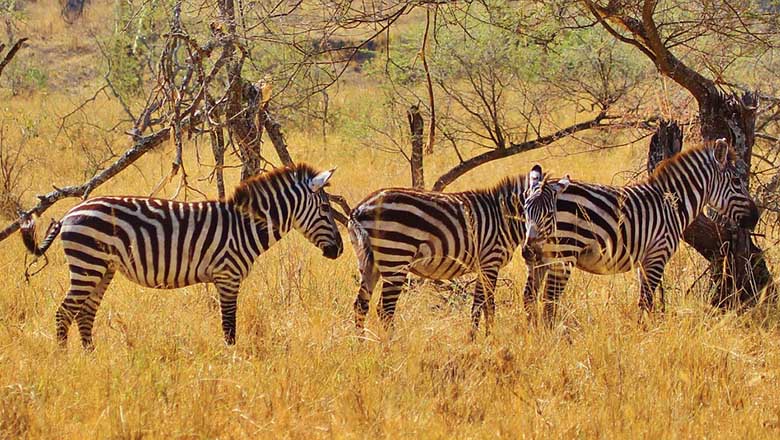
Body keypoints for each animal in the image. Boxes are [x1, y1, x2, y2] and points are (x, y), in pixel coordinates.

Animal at [19, 163, 342, 348]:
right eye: (326, 209)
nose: (338, 250)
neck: (245, 226)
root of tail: (69, 212)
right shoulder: (228, 276)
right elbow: (229, 327)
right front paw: (232, 364)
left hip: (102, 268)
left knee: (85, 314)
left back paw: (91, 359)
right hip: (88, 264)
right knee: (64, 313)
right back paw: (64, 360)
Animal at [348, 172, 536, 336]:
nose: (529, 253)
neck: (504, 218)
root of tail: (359, 208)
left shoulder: (484, 266)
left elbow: (480, 305)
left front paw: (478, 338)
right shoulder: (490, 261)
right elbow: (486, 306)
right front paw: (486, 340)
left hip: (368, 262)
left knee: (361, 305)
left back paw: (362, 343)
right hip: (395, 256)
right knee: (385, 309)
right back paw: (392, 345)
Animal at [520, 140, 760, 320]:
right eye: (737, 181)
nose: (755, 218)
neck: (673, 204)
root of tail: (546, 188)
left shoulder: (643, 261)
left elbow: (647, 301)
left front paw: (646, 330)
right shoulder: (657, 255)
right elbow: (646, 301)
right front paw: (644, 335)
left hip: (538, 256)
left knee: (530, 298)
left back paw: (535, 335)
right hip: (563, 254)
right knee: (549, 302)